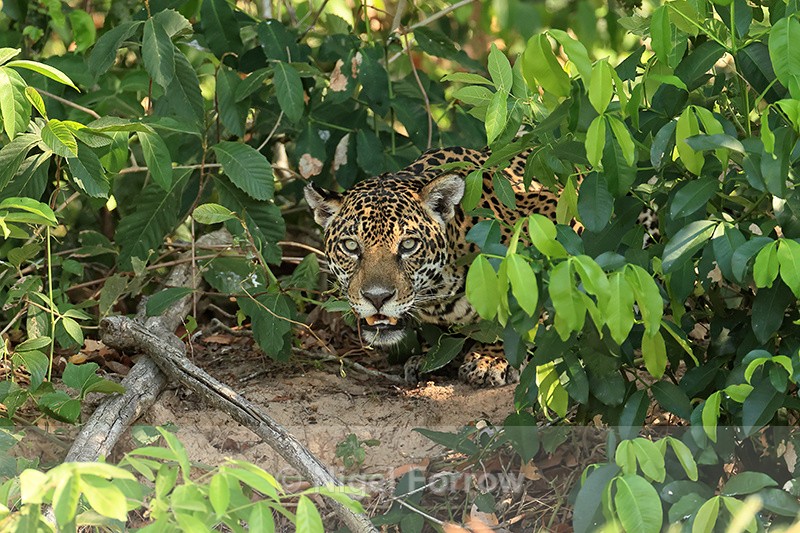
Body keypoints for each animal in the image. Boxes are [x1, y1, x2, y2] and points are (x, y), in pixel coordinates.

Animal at [305, 147, 579, 387]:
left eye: (408, 244)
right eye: (351, 246)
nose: (377, 298)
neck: (439, 291)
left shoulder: (550, 210)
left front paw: (492, 358)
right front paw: (429, 357)